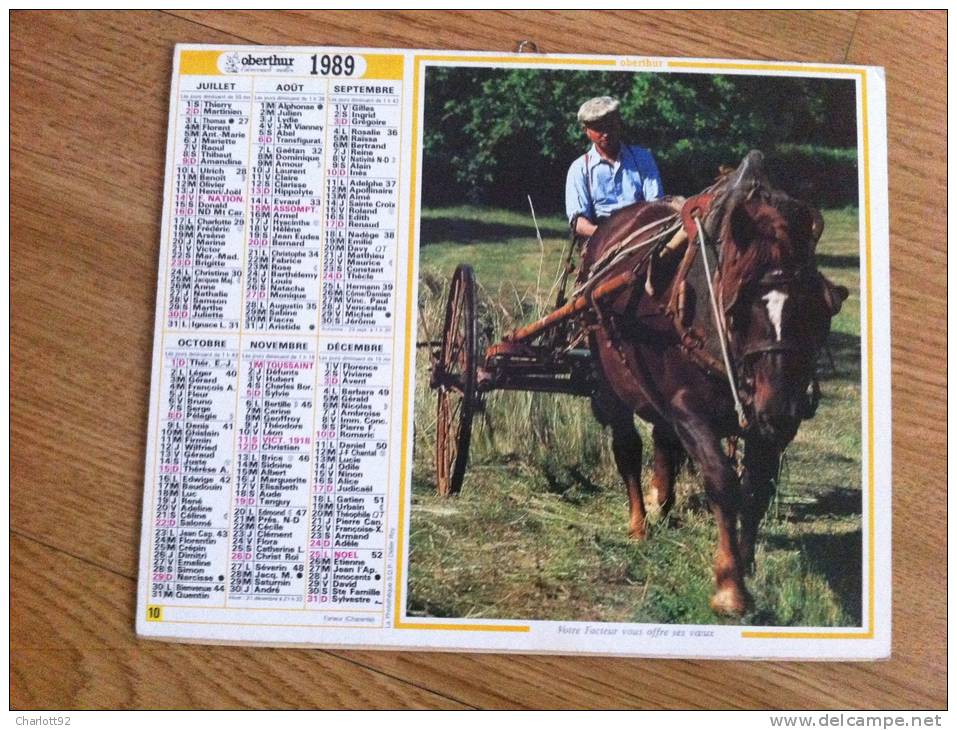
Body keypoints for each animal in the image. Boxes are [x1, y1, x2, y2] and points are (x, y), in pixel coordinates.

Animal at [584, 149, 844, 616]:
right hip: (612, 384)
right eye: (738, 311)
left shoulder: (772, 426)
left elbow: (757, 487)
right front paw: (729, 586)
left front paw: (747, 562)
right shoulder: (690, 410)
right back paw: (639, 523)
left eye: (816, 309)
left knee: (663, 442)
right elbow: (723, 483)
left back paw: (663, 504)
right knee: (627, 447)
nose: (777, 407)